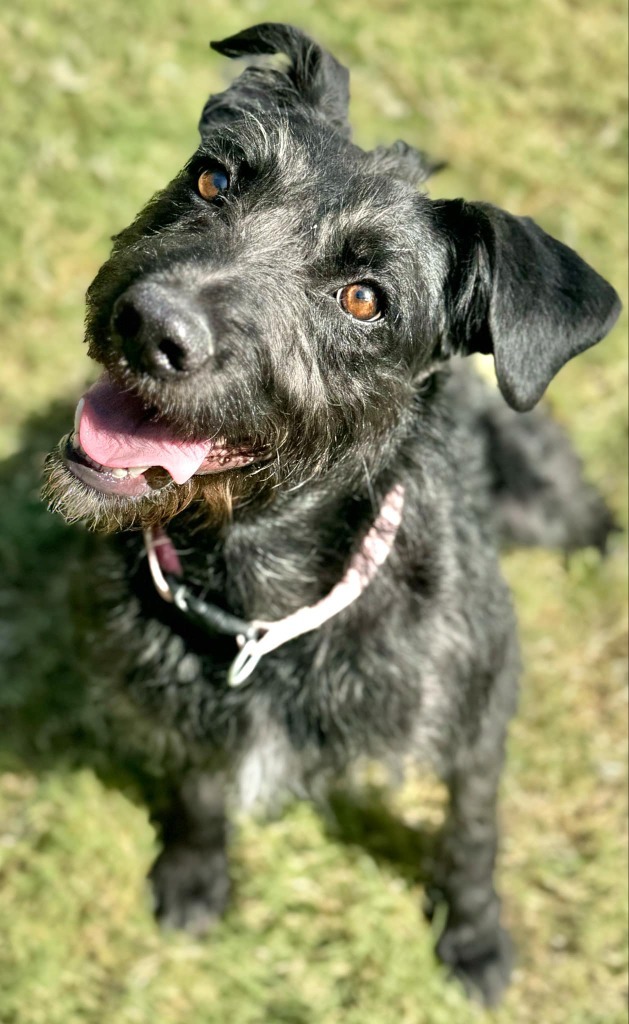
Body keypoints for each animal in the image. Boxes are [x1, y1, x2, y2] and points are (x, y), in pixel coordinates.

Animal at [43, 24, 622, 1007]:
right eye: (215, 179)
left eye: (363, 298)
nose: (147, 322)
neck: (260, 589)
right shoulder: (192, 715)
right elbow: (199, 790)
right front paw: (194, 875)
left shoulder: (476, 715)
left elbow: (471, 836)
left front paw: (473, 941)